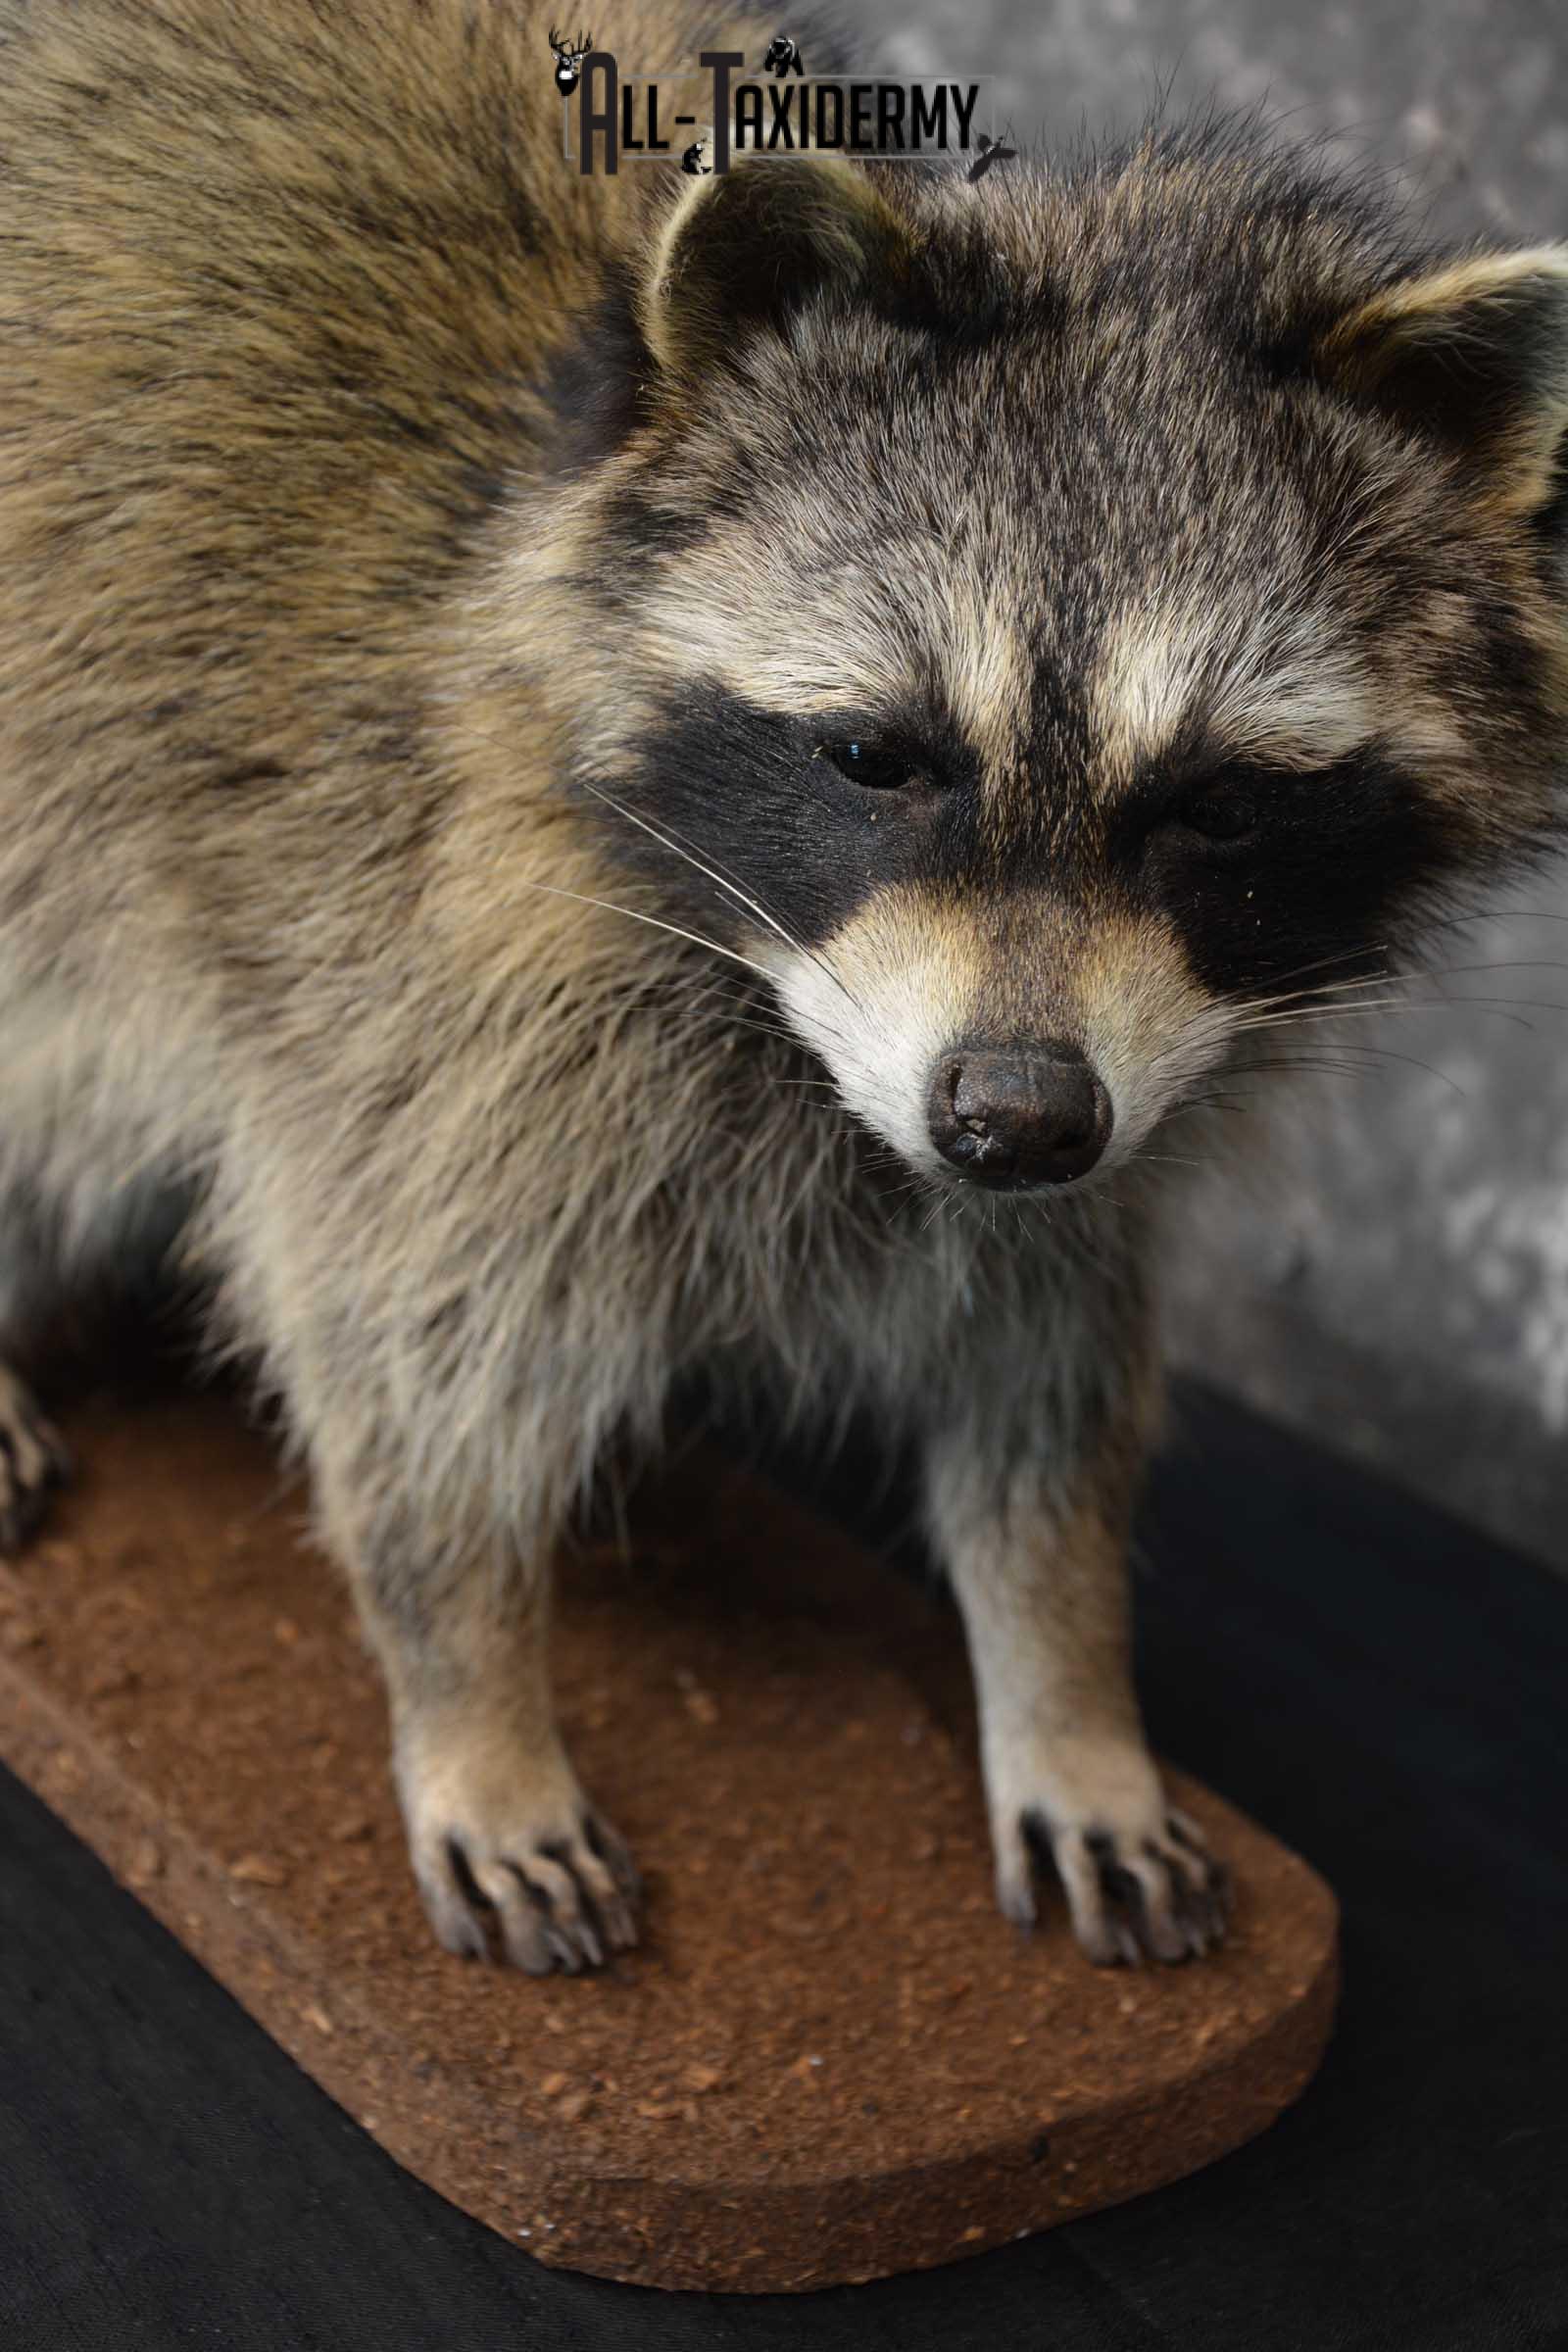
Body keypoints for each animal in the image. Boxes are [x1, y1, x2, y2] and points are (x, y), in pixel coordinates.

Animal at [0, 0, 1563, 1977]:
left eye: (1213, 808)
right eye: (877, 759)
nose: (1012, 1118)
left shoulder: (1102, 1101)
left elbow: (1043, 1366)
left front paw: (1066, 1677)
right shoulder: (401, 971)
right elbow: (395, 1349)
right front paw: (473, 1697)